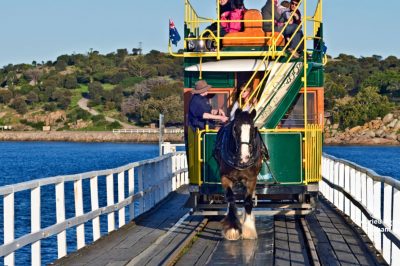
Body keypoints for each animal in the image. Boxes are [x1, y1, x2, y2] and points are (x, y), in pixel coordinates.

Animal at [214, 109, 268, 240]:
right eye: (235, 128)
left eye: (253, 129)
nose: (244, 158)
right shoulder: (225, 177)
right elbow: (230, 197)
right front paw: (232, 227)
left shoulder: (251, 179)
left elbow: (248, 201)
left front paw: (248, 229)